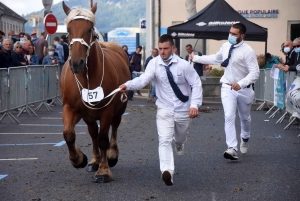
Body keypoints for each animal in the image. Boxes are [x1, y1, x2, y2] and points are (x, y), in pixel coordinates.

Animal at [60, 0, 130, 183]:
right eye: (68, 29)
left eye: (89, 29)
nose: (76, 63)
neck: (87, 78)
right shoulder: (71, 108)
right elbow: (69, 134)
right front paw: (79, 159)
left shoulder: (107, 110)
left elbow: (103, 139)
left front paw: (104, 171)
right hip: (88, 115)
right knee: (92, 133)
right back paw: (94, 160)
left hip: (119, 108)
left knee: (114, 126)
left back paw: (111, 155)